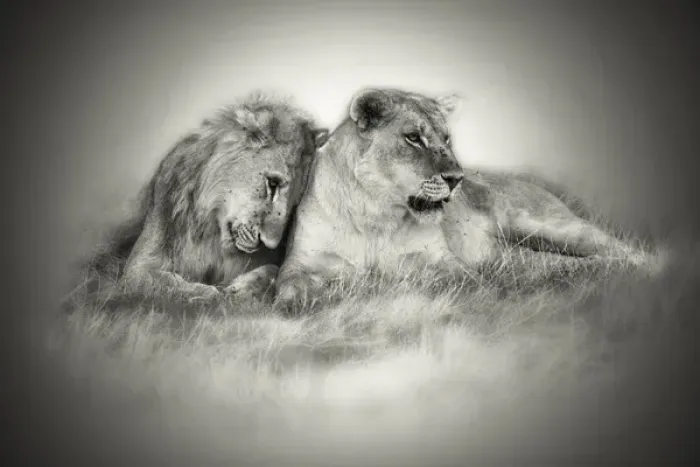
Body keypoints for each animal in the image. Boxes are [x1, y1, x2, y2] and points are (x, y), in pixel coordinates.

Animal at [81, 91, 329, 304]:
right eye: (273, 184)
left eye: (296, 201)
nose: (271, 243)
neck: (216, 233)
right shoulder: (138, 267)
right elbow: (164, 281)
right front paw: (207, 293)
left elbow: (275, 270)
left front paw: (242, 288)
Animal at [274, 87, 653, 312]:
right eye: (413, 138)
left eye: (446, 139)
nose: (457, 179)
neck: (377, 213)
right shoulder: (302, 263)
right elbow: (287, 285)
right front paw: (303, 302)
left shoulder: (444, 261)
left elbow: (457, 279)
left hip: (552, 226)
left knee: (622, 251)